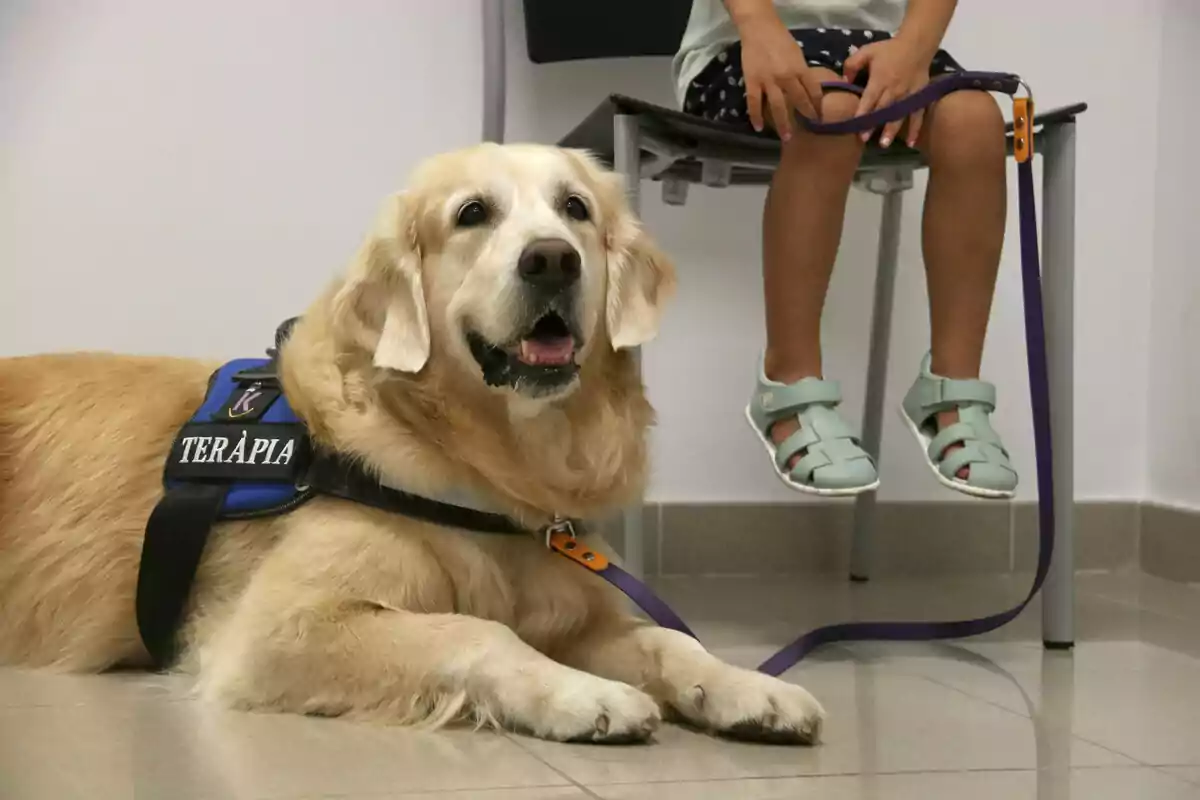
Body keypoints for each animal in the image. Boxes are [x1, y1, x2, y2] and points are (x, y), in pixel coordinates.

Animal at [0, 142, 825, 743]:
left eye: (576, 208)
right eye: (472, 214)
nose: (553, 257)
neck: (489, 470)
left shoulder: (572, 611)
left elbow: (668, 642)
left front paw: (751, 687)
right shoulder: (277, 629)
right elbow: (479, 631)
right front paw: (582, 693)